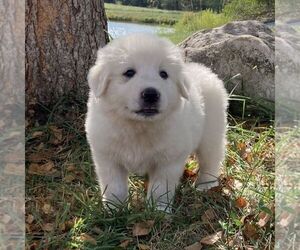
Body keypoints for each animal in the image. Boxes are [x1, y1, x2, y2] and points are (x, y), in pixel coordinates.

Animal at [84, 33, 227, 211]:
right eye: (129, 72)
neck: (138, 126)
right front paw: (114, 210)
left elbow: (160, 189)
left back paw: (206, 185)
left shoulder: (168, 161)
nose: (151, 94)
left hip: (212, 132)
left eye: (163, 74)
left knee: (211, 159)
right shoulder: (108, 157)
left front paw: (158, 210)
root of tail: (204, 71)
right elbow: (115, 187)